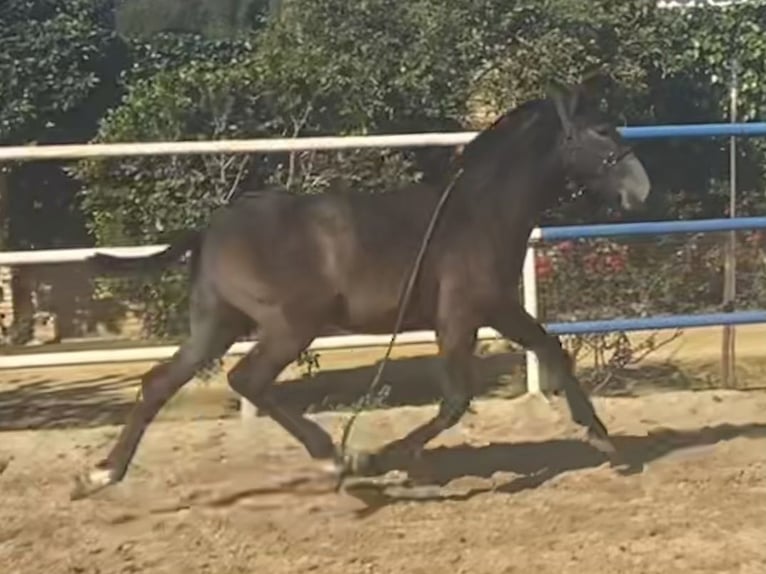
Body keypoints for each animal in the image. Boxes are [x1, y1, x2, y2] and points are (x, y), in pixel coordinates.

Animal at [73, 80, 656, 500]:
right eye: (602, 130)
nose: (641, 189)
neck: (476, 212)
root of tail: (210, 229)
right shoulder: (465, 313)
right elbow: (456, 400)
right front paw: (376, 460)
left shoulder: (496, 308)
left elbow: (549, 347)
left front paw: (600, 434)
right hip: (289, 326)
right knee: (248, 379)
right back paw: (334, 456)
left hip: (217, 325)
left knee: (159, 383)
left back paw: (101, 475)